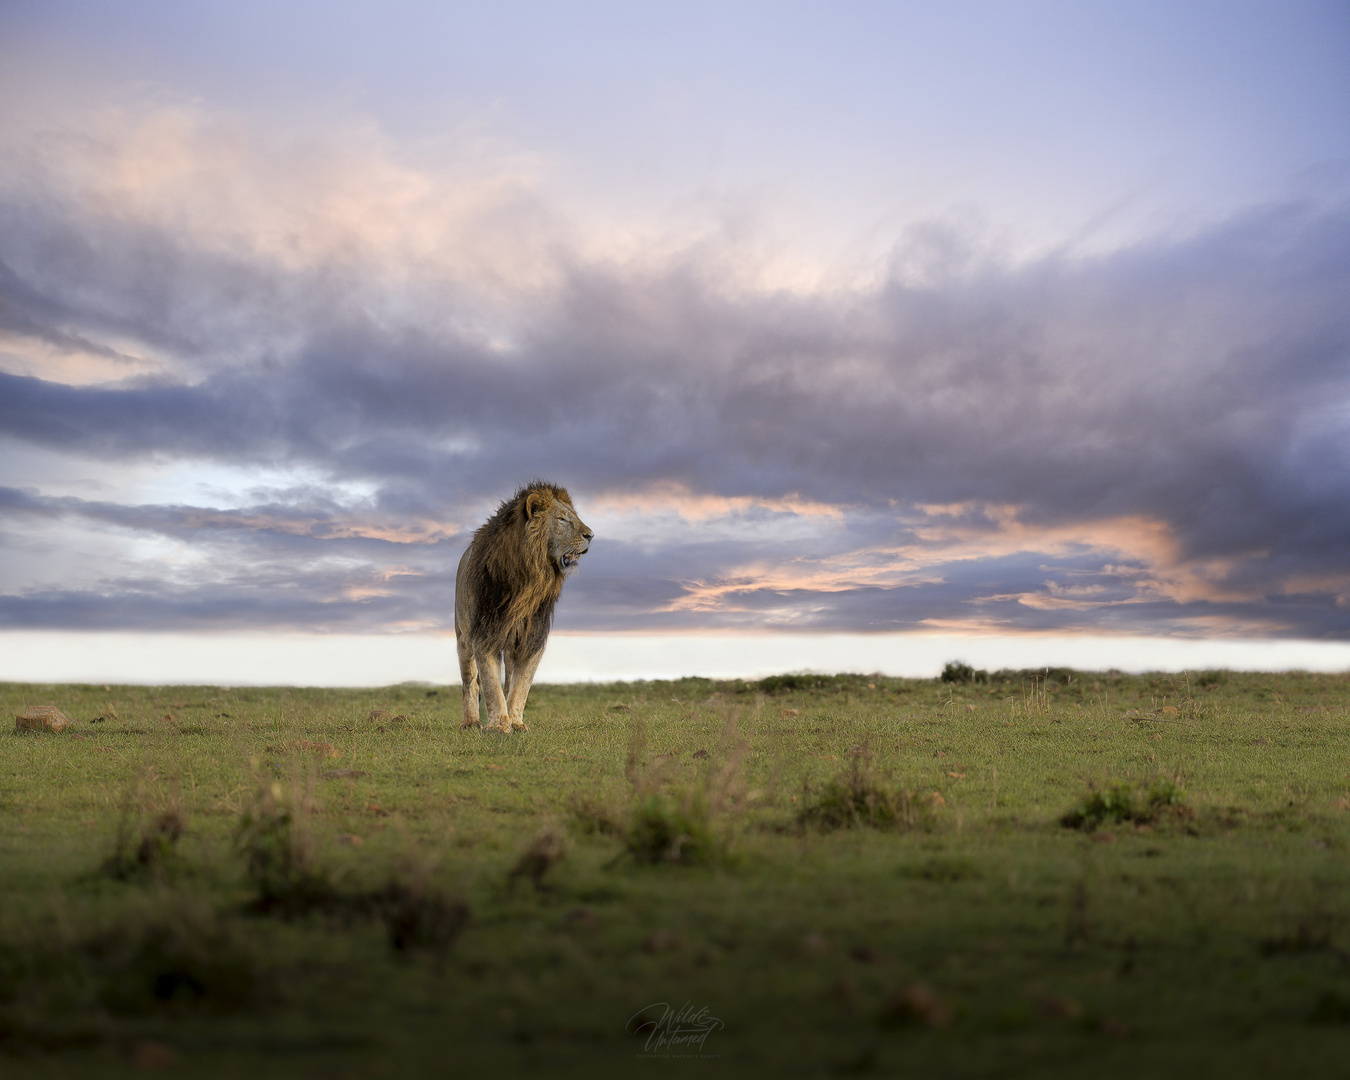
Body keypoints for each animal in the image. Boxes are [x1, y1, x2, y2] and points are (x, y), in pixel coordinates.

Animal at [453, 480, 591, 734]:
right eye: (562, 519)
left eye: (575, 517)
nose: (591, 535)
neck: (530, 578)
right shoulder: (485, 632)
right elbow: (491, 684)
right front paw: (499, 725)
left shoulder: (533, 637)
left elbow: (521, 685)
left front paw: (515, 722)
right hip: (463, 636)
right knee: (470, 682)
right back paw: (470, 722)